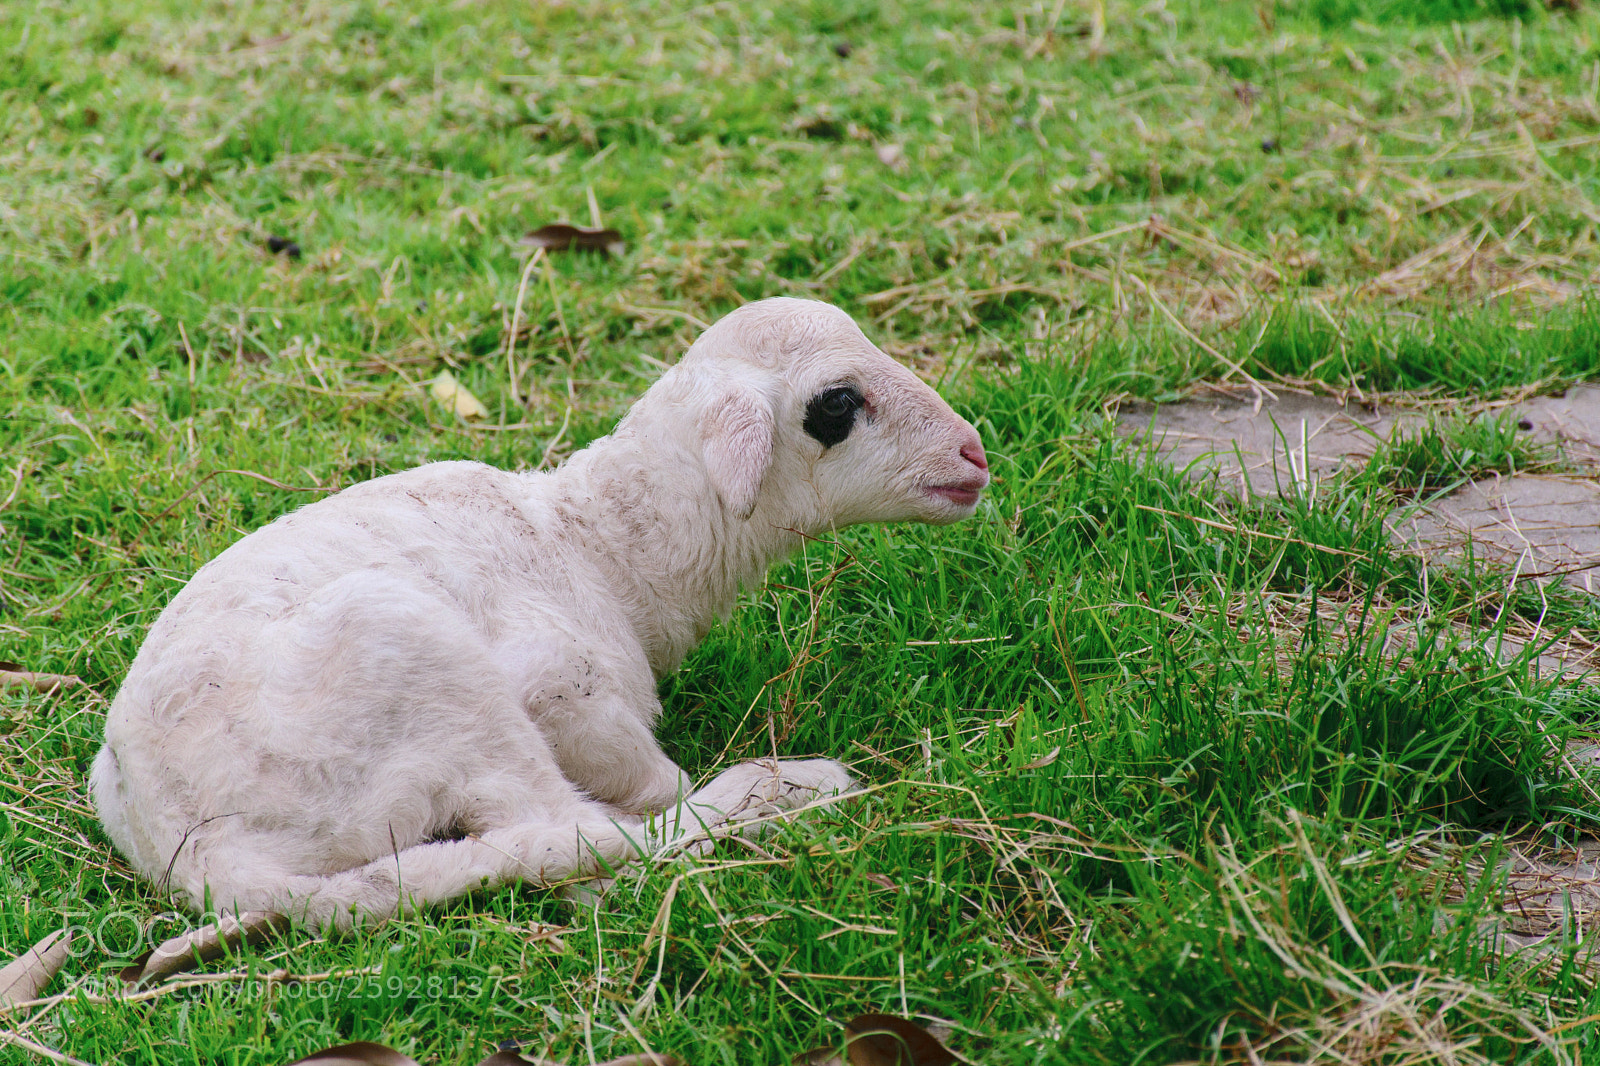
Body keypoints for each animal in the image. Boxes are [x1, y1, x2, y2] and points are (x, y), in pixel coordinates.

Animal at [90, 297, 991, 930]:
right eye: (836, 405)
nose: (974, 453)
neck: (601, 549)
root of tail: (200, 856)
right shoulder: (560, 686)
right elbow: (647, 782)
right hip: (420, 672)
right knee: (578, 832)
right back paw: (791, 790)